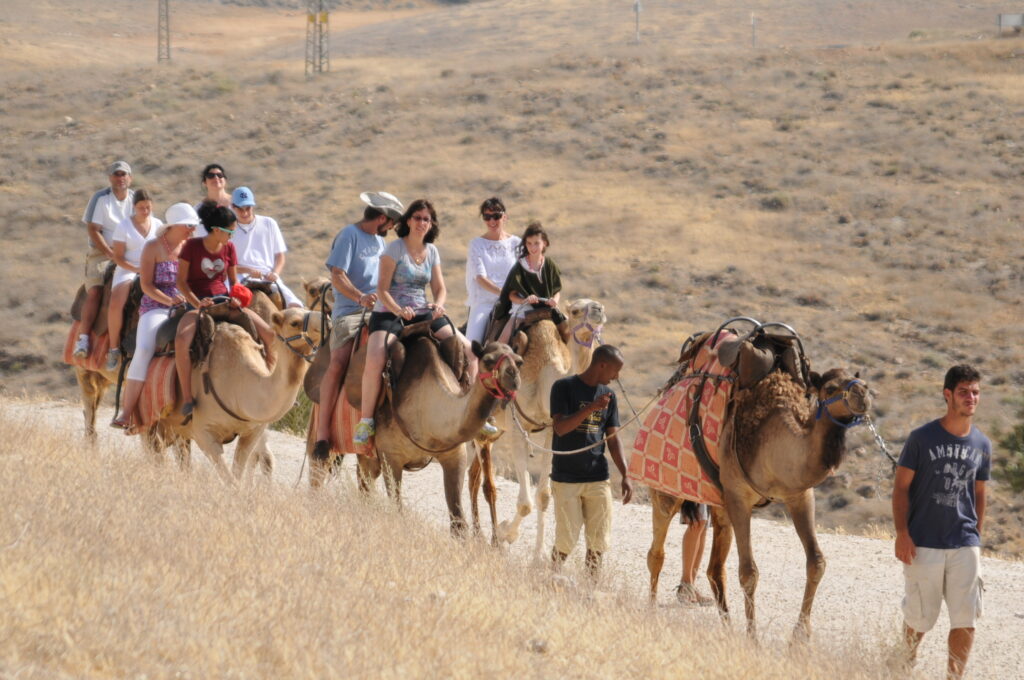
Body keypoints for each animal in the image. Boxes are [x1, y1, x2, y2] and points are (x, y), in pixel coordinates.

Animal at [471, 296, 606, 553]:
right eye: (575, 310)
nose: (599, 309)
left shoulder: (552, 432)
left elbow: (543, 496)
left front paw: (538, 555)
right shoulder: (517, 429)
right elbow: (525, 504)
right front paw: (506, 533)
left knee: (473, 475)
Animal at [647, 366, 872, 639]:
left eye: (863, 382)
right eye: (829, 388)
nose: (861, 393)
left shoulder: (799, 495)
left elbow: (816, 562)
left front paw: (800, 635)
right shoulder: (739, 496)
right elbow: (748, 572)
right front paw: (753, 638)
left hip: (719, 506)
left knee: (715, 568)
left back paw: (727, 628)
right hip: (666, 490)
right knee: (657, 552)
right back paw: (651, 613)